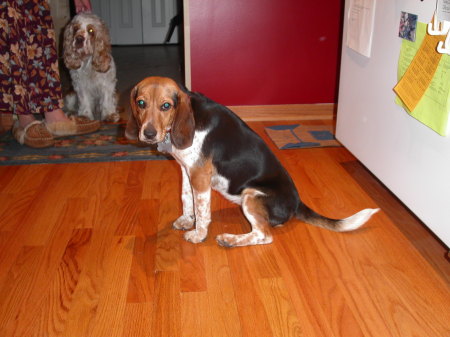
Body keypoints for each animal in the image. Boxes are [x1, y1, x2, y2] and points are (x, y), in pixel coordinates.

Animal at [126, 77, 380, 247]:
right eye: (141, 103)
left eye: (166, 106)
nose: (148, 134)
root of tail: (297, 203)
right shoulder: (186, 171)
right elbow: (186, 200)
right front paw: (187, 221)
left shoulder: (200, 177)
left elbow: (202, 211)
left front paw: (198, 233)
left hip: (251, 195)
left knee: (264, 235)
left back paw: (230, 240)